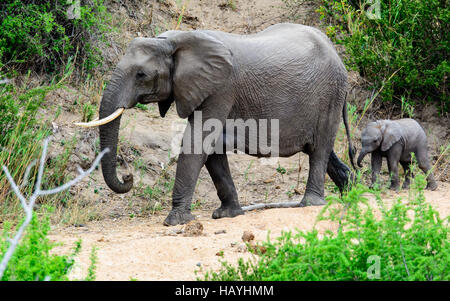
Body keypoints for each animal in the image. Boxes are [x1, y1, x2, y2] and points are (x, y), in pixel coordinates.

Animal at [76, 23, 356, 225]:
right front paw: (228, 215)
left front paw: (176, 221)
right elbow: (212, 149)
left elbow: (197, 141)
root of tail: (336, 52)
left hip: (331, 94)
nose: (128, 176)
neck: (173, 40)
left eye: (141, 74)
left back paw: (311, 204)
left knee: (319, 150)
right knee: (322, 150)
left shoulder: (220, 88)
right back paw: (351, 193)